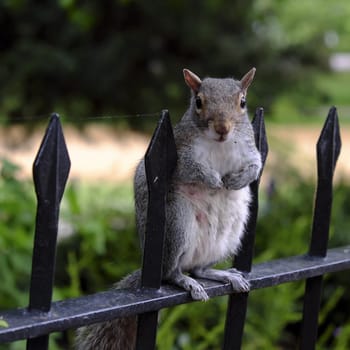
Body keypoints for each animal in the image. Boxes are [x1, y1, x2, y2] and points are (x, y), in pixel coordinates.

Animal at [76, 67, 262, 348]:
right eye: (199, 102)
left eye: (242, 102)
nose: (222, 128)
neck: (219, 145)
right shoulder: (180, 155)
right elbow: (191, 169)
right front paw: (214, 181)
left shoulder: (249, 150)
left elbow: (256, 166)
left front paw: (235, 181)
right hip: (177, 225)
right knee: (171, 273)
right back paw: (185, 281)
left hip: (230, 235)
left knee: (199, 269)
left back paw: (223, 275)